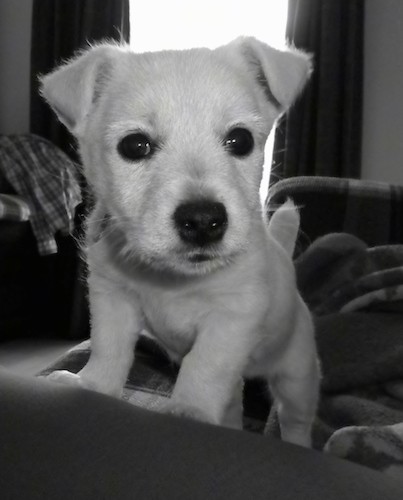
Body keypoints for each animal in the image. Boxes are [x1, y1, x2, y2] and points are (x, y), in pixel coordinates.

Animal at [41, 37, 318, 448]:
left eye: (240, 140)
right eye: (135, 145)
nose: (203, 221)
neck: (174, 278)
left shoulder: (234, 316)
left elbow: (204, 364)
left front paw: (189, 409)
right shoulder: (113, 299)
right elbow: (109, 348)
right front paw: (93, 386)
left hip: (297, 374)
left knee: (295, 418)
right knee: (233, 404)